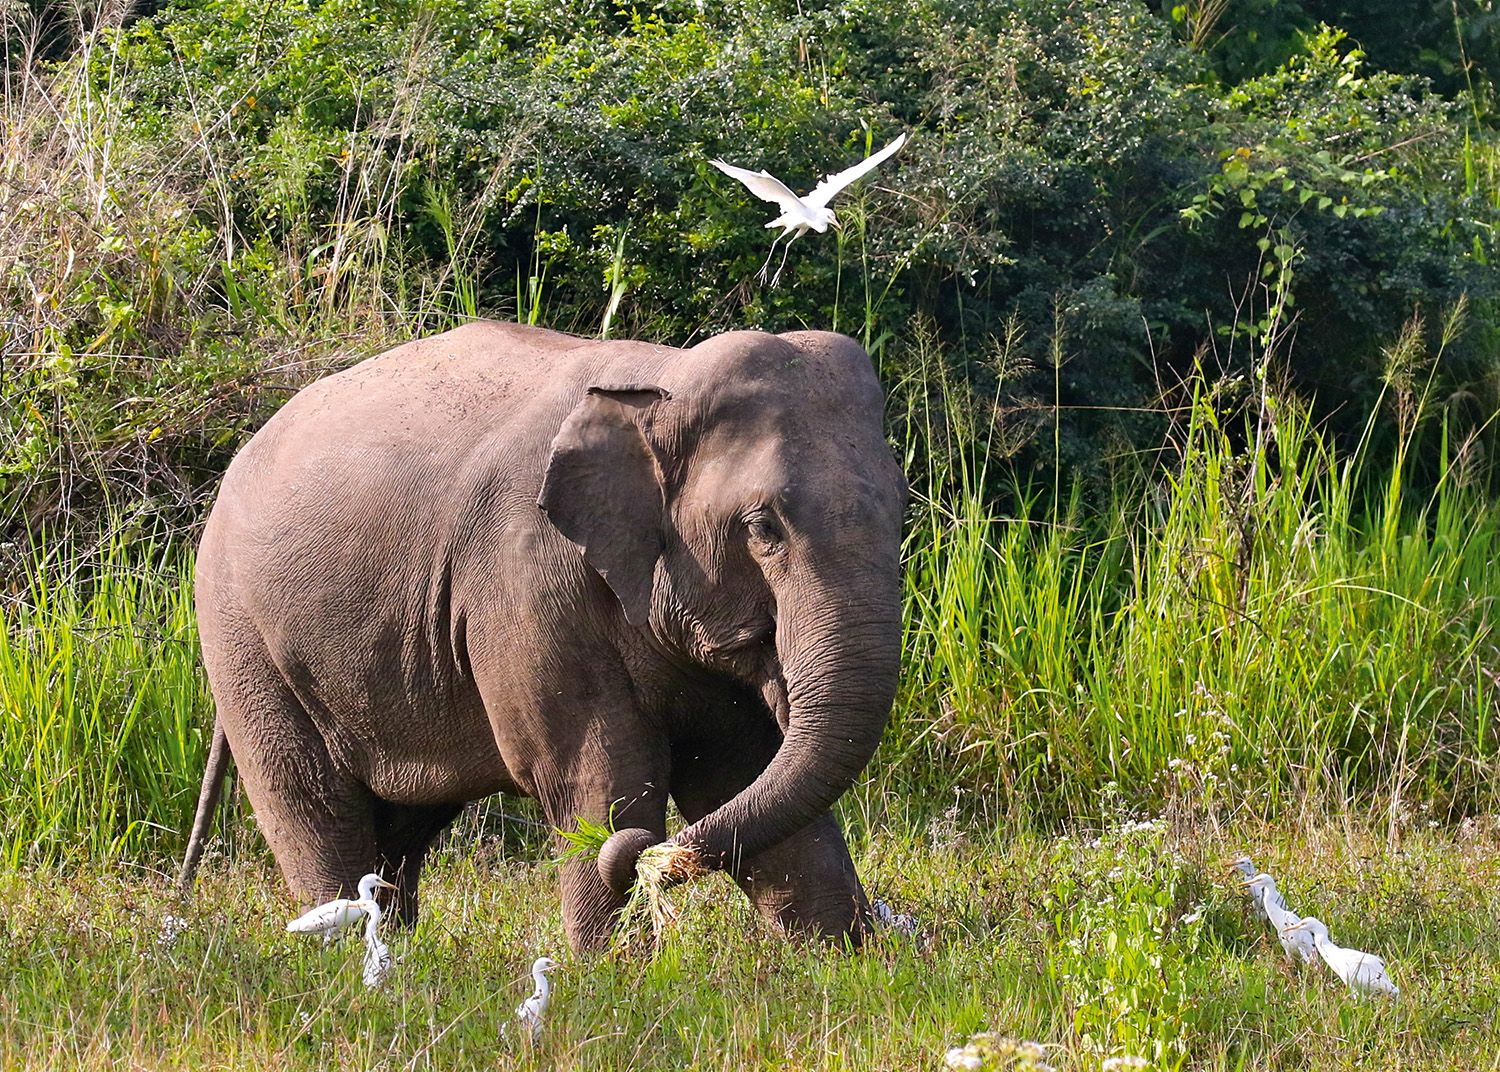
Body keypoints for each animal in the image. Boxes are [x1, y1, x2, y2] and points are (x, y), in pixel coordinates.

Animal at [178, 320, 906, 952]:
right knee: (315, 809)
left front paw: (839, 961)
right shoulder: (525, 580)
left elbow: (744, 768)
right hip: (244, 642)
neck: (660, 383)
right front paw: (615, 976)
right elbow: (597, 779)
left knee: (402, 826)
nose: (656, 859)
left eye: (903, 508)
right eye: (762, 528)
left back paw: (397, 954)